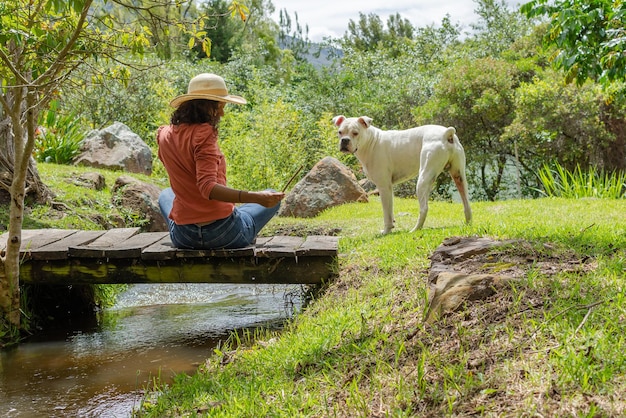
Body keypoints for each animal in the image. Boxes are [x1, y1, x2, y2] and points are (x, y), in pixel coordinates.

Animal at [334, 116, 470, 233]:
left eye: (355, 133)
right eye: (340, 132)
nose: (344, 140)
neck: (372, 141)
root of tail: (446, 133)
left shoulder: (384, 187)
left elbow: (386, 213)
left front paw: (386, 231)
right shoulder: (389, 189)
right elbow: (390, 210)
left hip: (423, 179)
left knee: (424, 208)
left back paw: (415, 229)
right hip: (459, 176)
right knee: (466, 204)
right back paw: (468, 223)